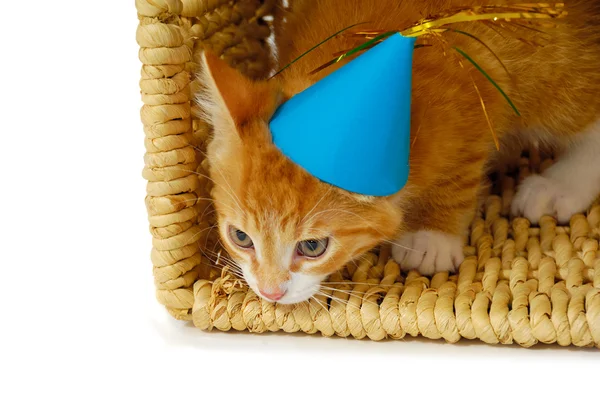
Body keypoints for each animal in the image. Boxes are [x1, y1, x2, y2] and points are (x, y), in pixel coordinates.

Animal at [197, 0, 600, 304]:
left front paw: (432, 235)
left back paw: (559, 186)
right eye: (241, 237)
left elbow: (459, 167)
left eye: (312, 246)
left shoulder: (478, 90)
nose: (270, 292)